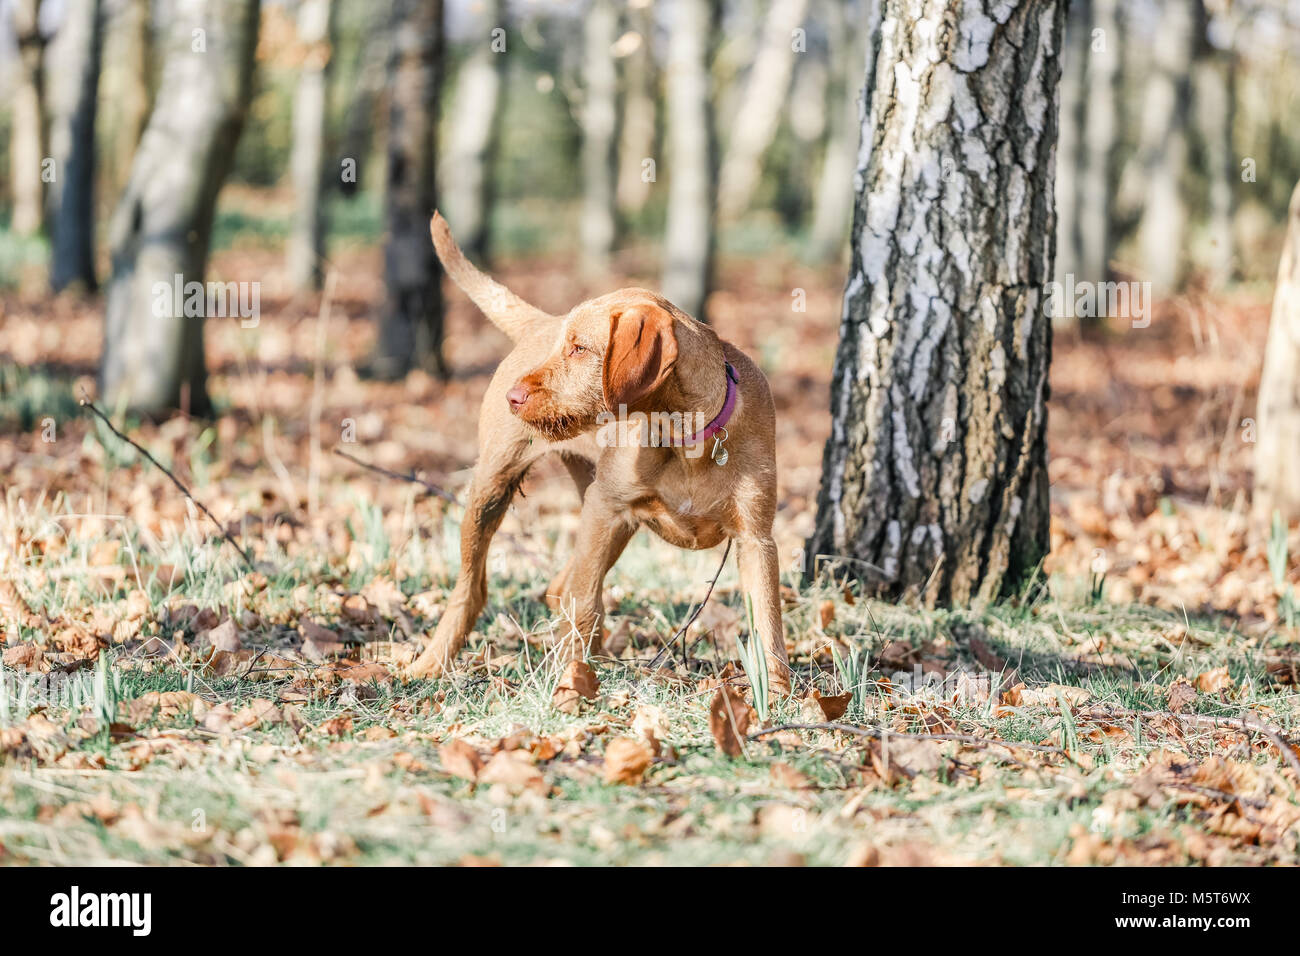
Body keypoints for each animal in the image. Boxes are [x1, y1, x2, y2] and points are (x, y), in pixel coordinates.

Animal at [408, 214, 790, 697]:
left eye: (579, 348)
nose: (515, 396)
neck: (685, 440)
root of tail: (540, 321)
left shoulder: (756, 539)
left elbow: (768, 622)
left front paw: (777, 695)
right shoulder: (605, 509)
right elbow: (586, 601)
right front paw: (571, 682)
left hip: (604, 514)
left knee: (559, 586)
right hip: (495, 490)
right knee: (475, 590)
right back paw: (431, 663)